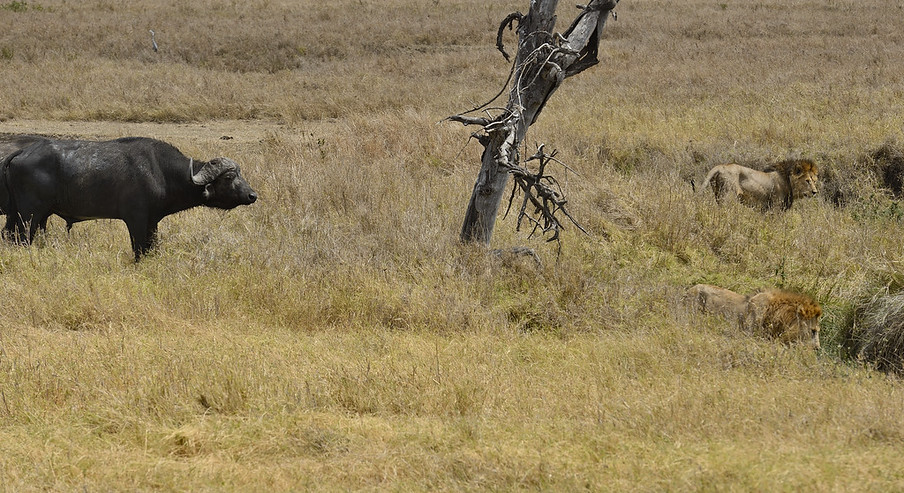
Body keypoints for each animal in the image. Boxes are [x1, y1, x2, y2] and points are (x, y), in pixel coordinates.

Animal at [3, 136, 258, 260]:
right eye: (229, 177)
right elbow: (139, 249)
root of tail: (23, 152)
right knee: (22, 239)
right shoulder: (135, 220)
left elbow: (151, 248)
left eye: (241, 174)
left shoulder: (152, 222)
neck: (161, 171)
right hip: (30, 216)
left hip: (23, 216)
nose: (252, 195)